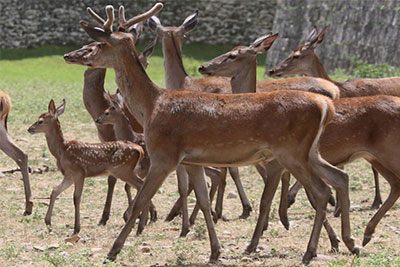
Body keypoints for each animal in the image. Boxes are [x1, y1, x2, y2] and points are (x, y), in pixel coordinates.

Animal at [26, 100, 154, 237]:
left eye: (40, 121)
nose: (29, 129)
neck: (62, 150)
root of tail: (139, 149)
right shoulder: (69, 175)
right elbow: (55, 191)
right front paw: (48, 221)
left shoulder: (79, 171)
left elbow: (76, 198)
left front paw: (76, 228)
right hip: (128, 170)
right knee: (141, 186)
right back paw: (141, 225)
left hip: (122, 169)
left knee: (140, 186)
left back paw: (140, 225)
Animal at [65, 4, 360, 264]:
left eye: (98, 45)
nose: (74, 56)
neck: (152, 107)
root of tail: (326, 105)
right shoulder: (192, 160)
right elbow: (204, 200)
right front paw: (215, 251)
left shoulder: (165, 155)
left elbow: (140, 201)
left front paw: (113, 251)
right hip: (310, 151)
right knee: (339, 177)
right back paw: (350, 243)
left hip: (292, 151)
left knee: (321, 191)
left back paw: (310, 252)